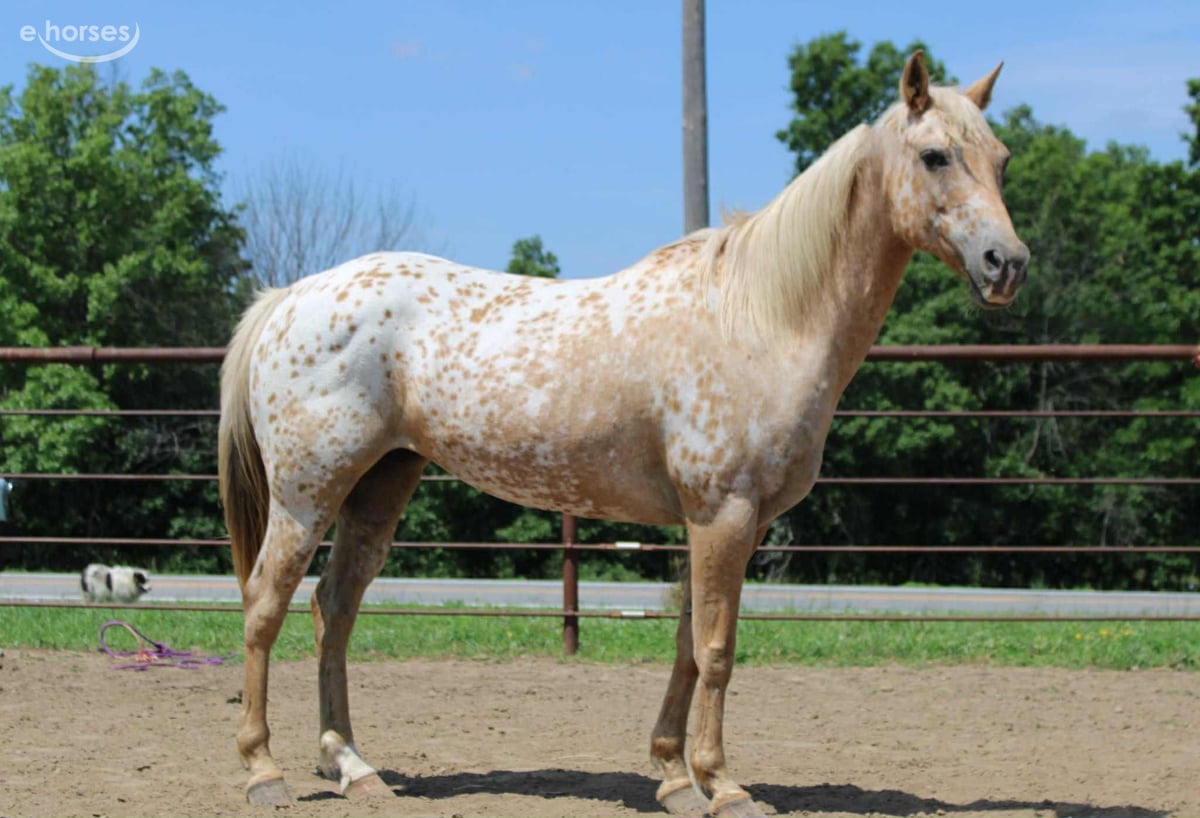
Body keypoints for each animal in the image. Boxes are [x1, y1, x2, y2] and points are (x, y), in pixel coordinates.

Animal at [218, 51, 1028, 817]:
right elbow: (717, 650)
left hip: (379, 488)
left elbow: (687, 647)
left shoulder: (725, 523)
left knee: (333, 611)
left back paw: (354, 768)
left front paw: (673, 777)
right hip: (306, 496)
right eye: (935, 155)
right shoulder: (724, 515)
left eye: (1002, 158)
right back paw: (262, 770)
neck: (757, 318)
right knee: (264, 606)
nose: (1007, 263)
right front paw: (723, 785)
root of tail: (292, 296)